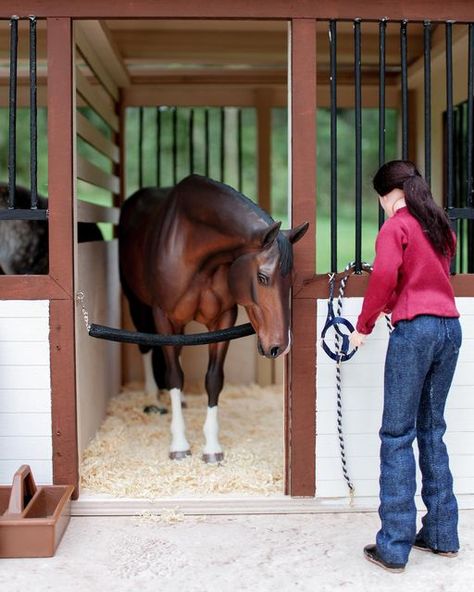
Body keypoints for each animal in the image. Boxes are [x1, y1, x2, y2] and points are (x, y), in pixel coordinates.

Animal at [119, 176, 308, 462]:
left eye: (292, 279)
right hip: (137, 303)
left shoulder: (222, 320)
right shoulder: (164, 317)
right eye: (262, 277)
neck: (193, 249)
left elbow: (213, 378)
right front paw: (179, 444)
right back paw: (152, 397)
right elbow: (174, 376)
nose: (280, 346)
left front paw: (211, 447)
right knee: (146, 345)